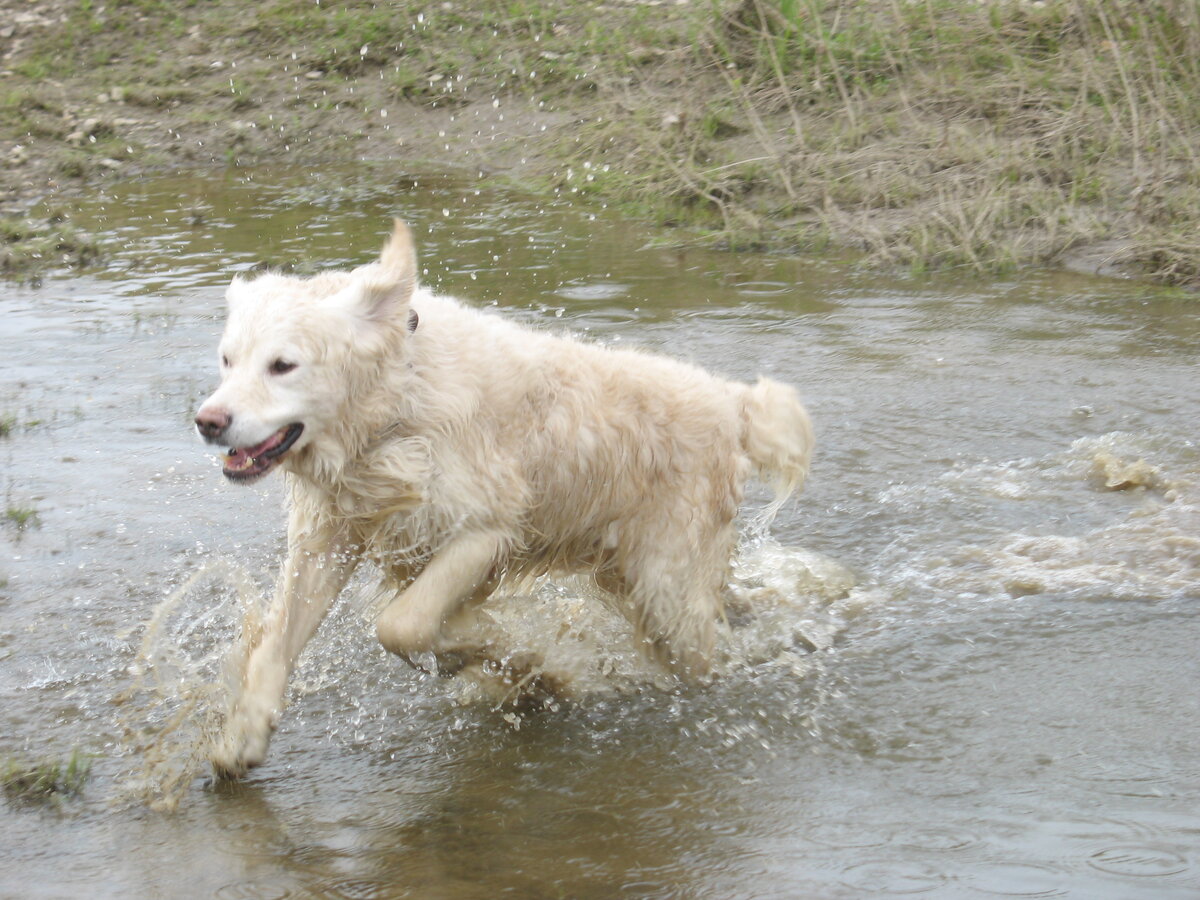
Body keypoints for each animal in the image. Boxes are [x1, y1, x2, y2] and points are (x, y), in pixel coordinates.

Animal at [199, 220, 816, 777]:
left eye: (283, 365)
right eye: (227, 359)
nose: (208, 422)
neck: (397, 403)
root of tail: (733, 403)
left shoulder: (485, 529)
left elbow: (403, 623)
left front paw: (499, 653)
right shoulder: (329, 537)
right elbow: (275, 645)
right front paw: (244, 736)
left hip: (668, 593)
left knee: (704, 657)